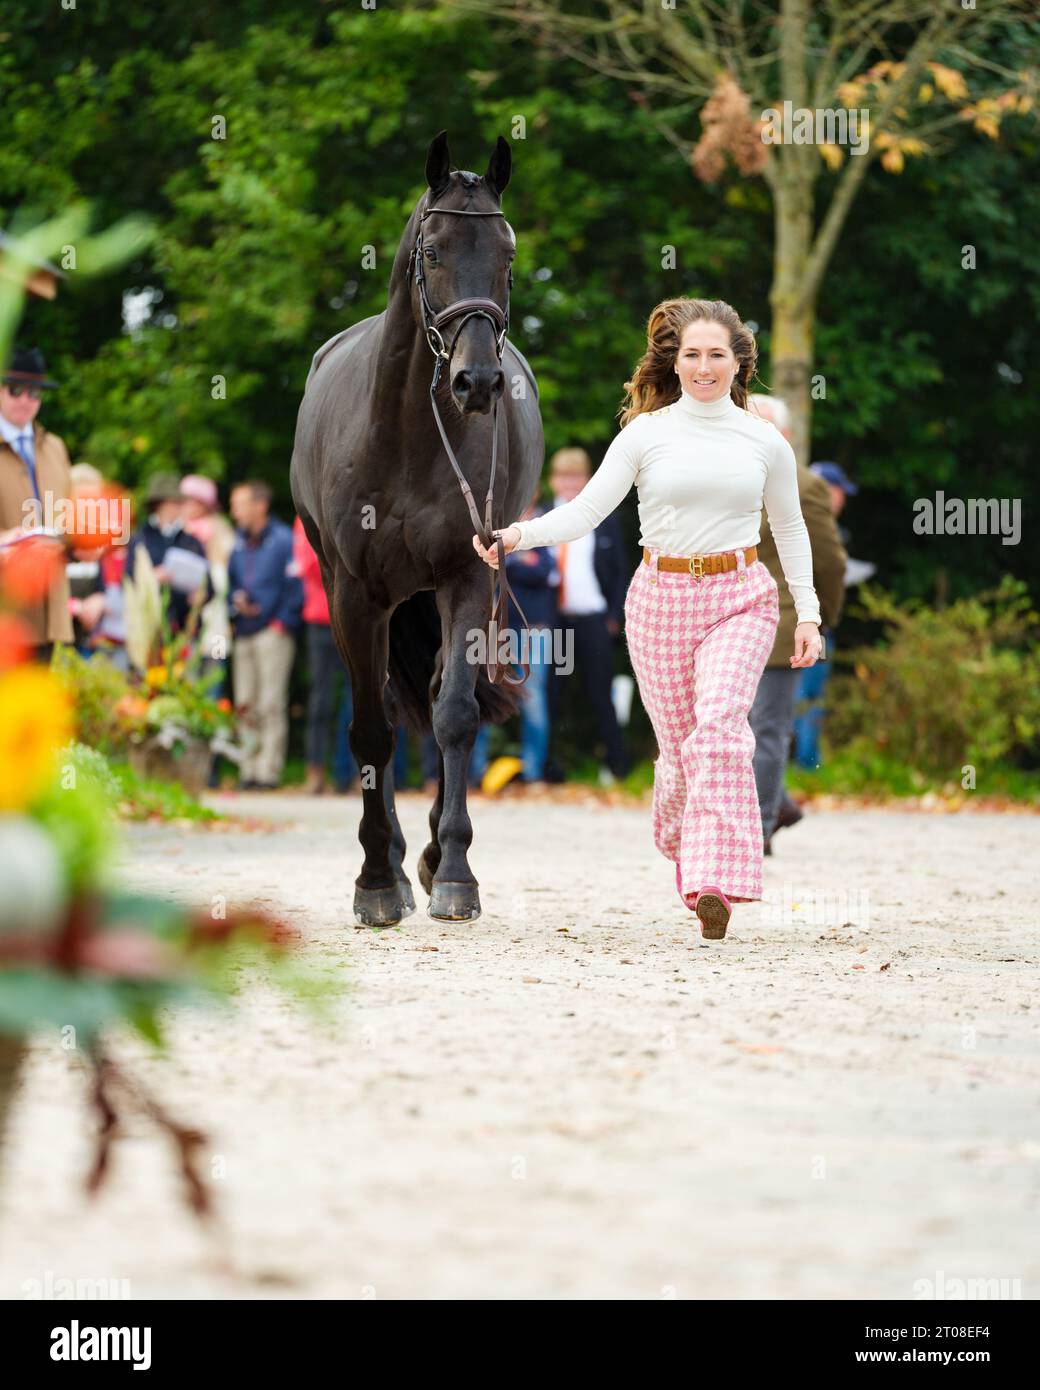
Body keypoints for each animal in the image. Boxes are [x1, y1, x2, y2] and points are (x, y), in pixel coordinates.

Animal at [287, 132, 539, 922]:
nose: (477, 381)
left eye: (508, 253)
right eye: (431, 250)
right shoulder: (354, 594)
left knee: (430, 700)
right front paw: (376, 879)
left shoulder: (464, 578)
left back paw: (423, 855)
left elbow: (454, 713)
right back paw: (394, 862)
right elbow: (371, 731)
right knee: (388, 713)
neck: (404, 432)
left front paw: (452, 868)